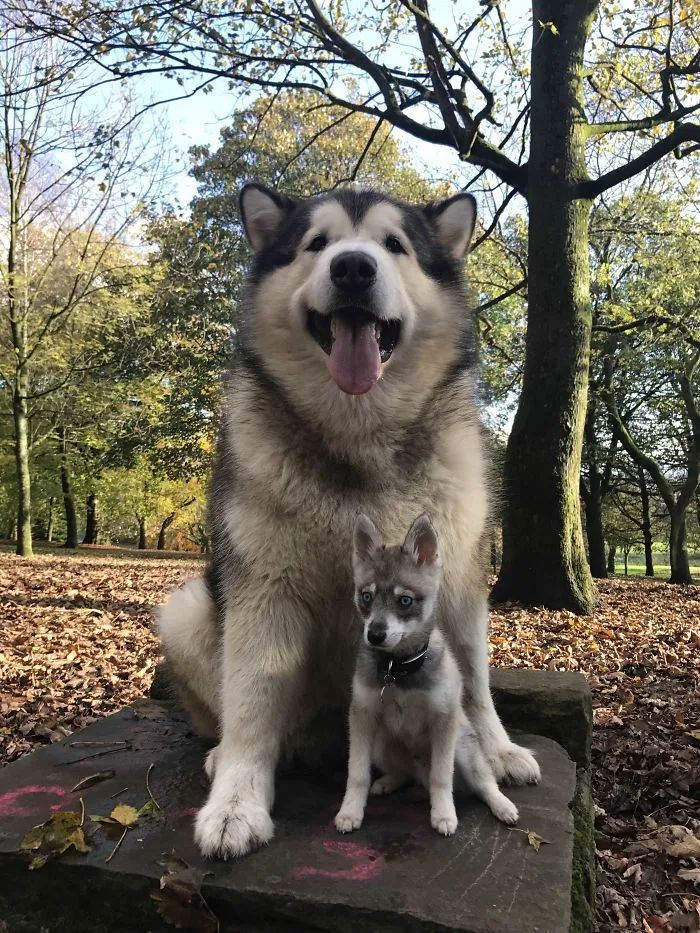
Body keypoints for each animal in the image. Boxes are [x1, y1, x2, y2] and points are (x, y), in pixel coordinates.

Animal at [334, 512, 520, 832]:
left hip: (463, 747)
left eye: (405, 600)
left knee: (483, 783)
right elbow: (357, 773)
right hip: (382, 742)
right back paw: (388, 782)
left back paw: (502, 806)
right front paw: (350, 811)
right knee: (404, 773)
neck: (399, 671)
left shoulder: (443, 721)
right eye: (366, 596)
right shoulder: (363, 716)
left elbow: (441, 776)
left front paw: (444, 814)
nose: (375, 635)